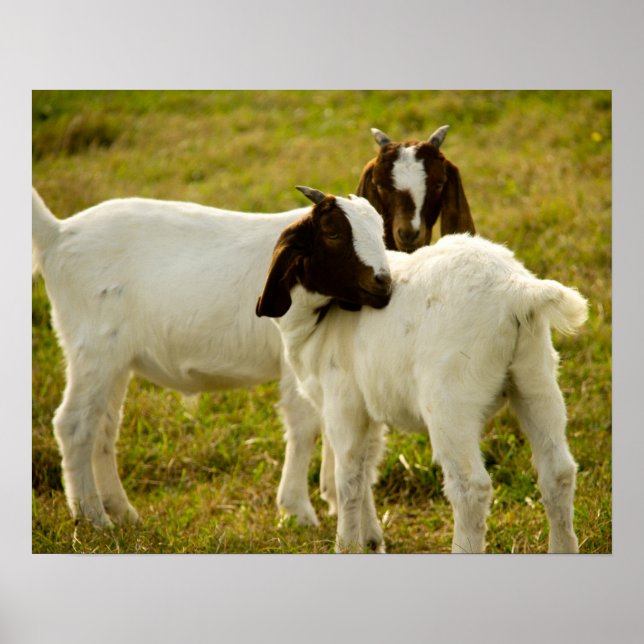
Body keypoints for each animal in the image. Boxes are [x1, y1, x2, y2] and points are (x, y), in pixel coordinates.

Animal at [257, 187, 588, 553]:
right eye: (332, 232)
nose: (383, 283)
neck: (318, 321)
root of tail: (515, 290)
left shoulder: (343, 404)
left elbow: (348, 479)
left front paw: (347, 544)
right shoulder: (368, 408)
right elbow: (366, 470)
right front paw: (371, 540)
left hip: (451, 401)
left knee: (470, 487)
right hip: (536, 377)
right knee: (558, 472)